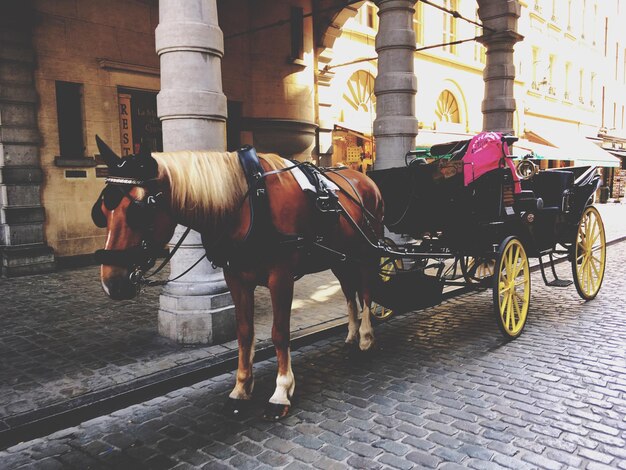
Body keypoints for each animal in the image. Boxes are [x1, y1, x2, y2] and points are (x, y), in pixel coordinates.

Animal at [92, 137, 382, 418]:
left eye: (139, 211)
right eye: (101, 213)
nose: (111, 282)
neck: (248, 201)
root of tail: (365, 179)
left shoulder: (281, 277)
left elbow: (279, 333)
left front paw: (281, 391)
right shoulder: (236, 278)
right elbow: (244, 332)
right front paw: (241, 388)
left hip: (366, 251)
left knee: (367, 290)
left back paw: (366, 337)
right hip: (341, 257)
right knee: (349, 291)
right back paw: (352, 334)